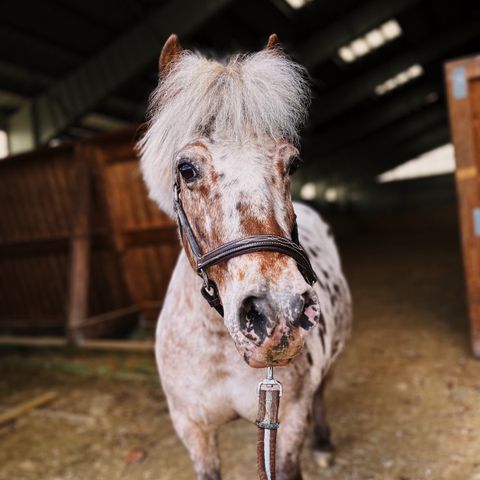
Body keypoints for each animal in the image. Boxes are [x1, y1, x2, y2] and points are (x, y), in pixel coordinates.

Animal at [139, 34, 352, 480]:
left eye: (292, 163)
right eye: (186, 168)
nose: (278, 312)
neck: (221, 344)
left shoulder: (288, 421)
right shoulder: (193, 429)